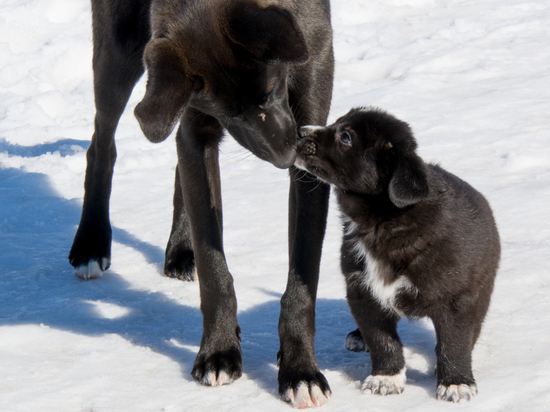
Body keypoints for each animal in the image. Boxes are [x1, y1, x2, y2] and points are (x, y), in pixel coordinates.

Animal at [69, 0, 336, 406]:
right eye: (228, 112)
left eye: (271, 89)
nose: (286, 157)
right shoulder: (196, 122)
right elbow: (213, 267)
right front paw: (219, 351)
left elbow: (303, 277)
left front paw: (300, 370)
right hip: (121, 51)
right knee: (102, 145)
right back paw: (90, 243)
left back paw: (181, 249)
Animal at [298, 108, 504, 402]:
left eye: (346, 137)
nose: (300, 131)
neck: (383, 220)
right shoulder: (362, 291)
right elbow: (381, 339)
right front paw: (386, 378)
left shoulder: (457, 298)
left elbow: (454, 342)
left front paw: (456, 382)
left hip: (482, 286)